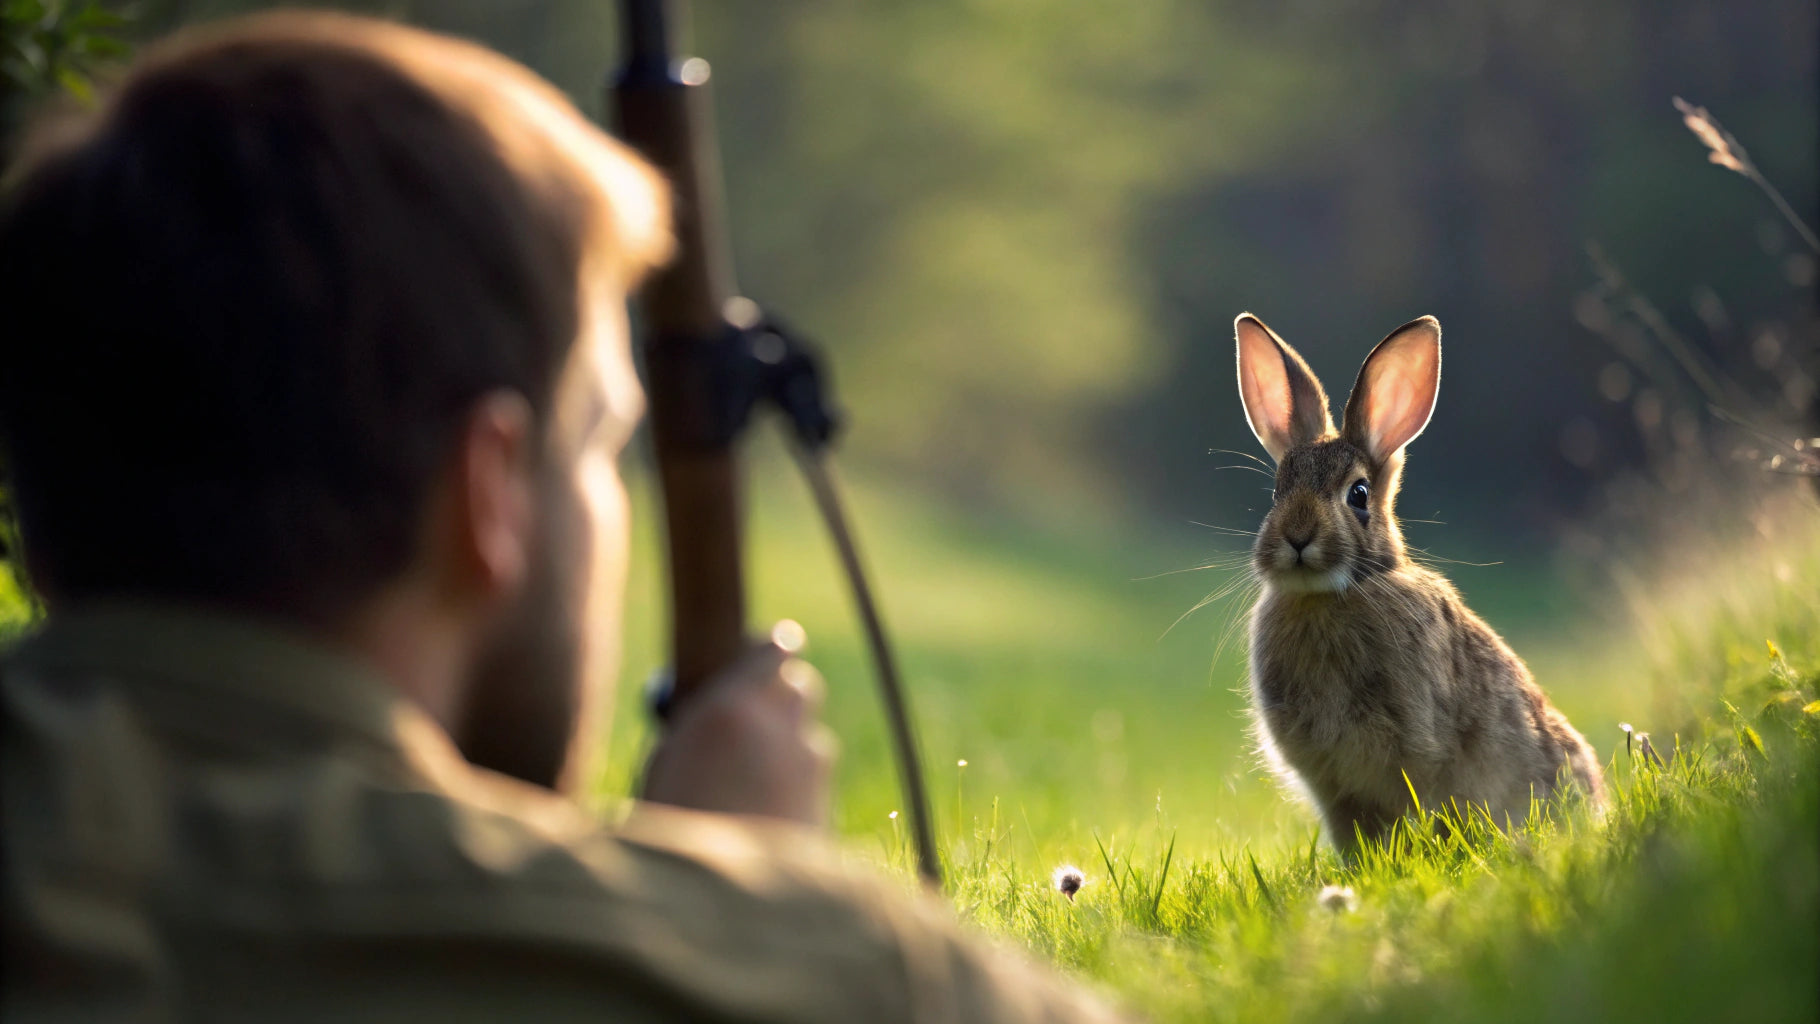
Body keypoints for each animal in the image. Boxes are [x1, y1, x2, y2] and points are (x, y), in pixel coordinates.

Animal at [1231, 312, 1604, 855]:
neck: (1334, 595)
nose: (1297, 537)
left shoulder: (1419, 755)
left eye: (1359, 494)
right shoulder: (1334, 786)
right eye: (1277, 492)